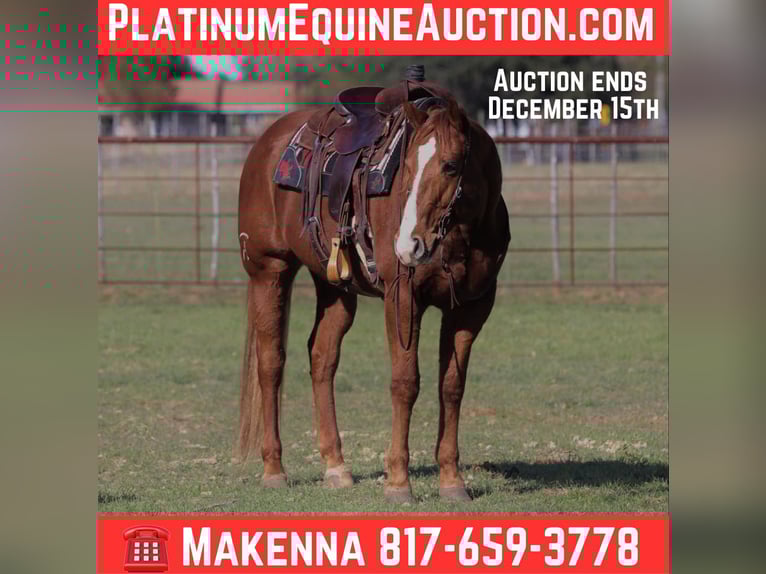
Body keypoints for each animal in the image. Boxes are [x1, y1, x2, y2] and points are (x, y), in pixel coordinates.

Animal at [237, 85, 510, 503]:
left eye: (450, 166)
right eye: (407, 168)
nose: (408, 245)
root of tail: (267, 144)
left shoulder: (472, 307)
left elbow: (451, 386)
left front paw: (452, 480)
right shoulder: (403, 298)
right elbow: (405, 382)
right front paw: (398, 481)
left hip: (333, 286)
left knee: (322, 358)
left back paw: (336, 466)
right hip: (269, 271)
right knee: (270, 363)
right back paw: (274, 469)